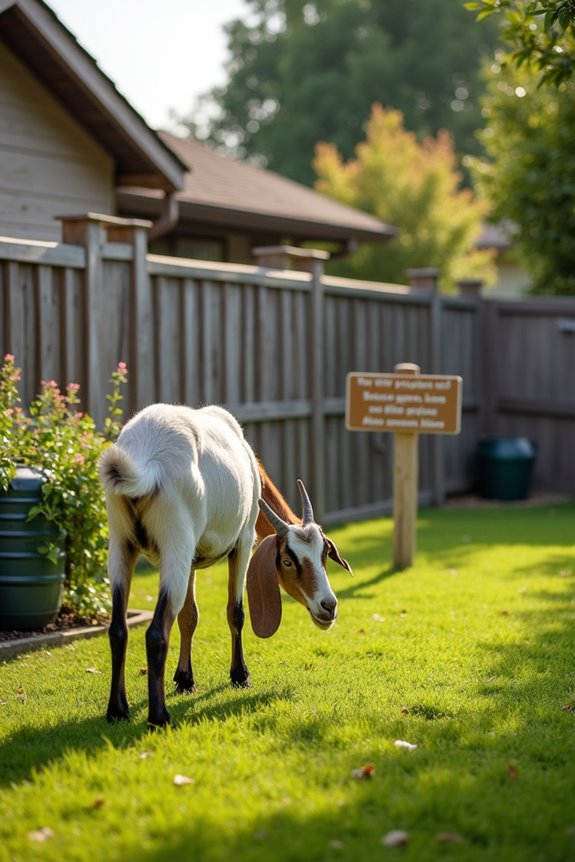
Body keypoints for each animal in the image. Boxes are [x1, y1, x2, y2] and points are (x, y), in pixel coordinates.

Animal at [98, 403, 351, 728]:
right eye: (287, 560)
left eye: (323, 554)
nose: (328, 607)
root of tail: (147, 456)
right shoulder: (243, 542)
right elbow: (236, 612)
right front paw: (240, 676)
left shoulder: (192, 560)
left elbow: (189, 617)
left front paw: (185, 680)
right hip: (175, 548)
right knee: (155, 632)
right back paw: (159, 717)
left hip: (121, 548)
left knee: (118, 628)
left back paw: (117, 710)